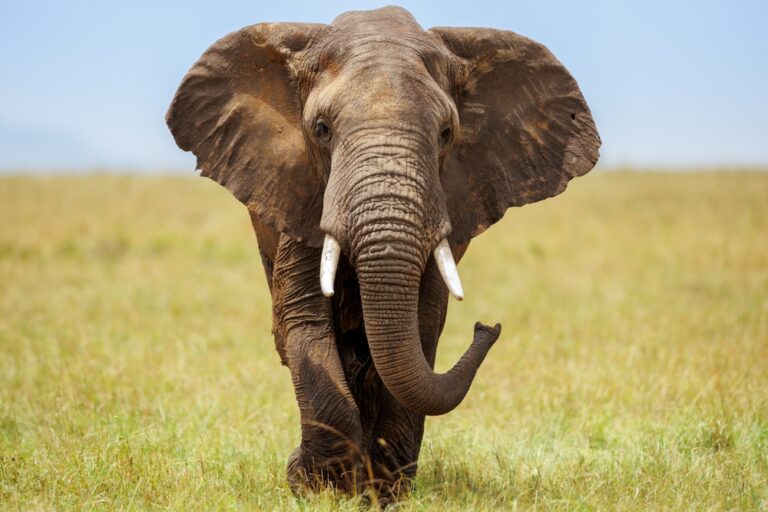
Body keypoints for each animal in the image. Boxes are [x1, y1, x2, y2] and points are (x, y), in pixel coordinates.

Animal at [166, 5, 600, 501]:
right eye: (321, 130)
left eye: (446, 133)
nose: (487, 327)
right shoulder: (301, 191)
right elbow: (303, 321)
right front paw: (316, 486)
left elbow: (421, 327)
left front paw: (382, 491)